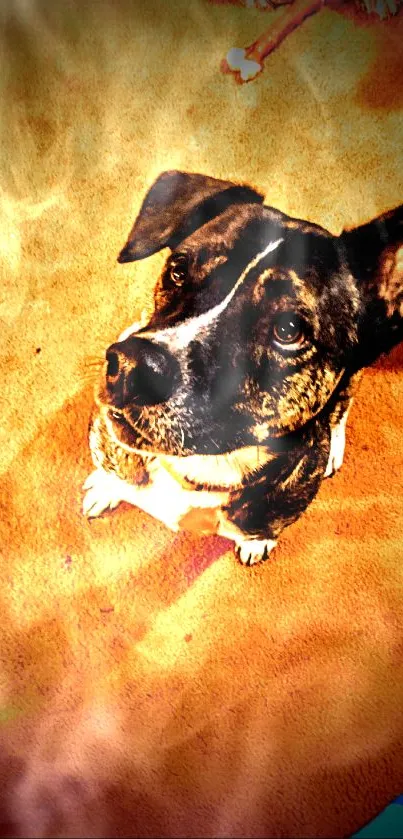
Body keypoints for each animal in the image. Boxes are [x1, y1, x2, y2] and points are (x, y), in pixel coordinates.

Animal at [82, 170, 403, 564]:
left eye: (288, 329)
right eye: (178, 271)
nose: (130, 365)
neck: (199, 471)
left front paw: (255, 543)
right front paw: (107, 487)